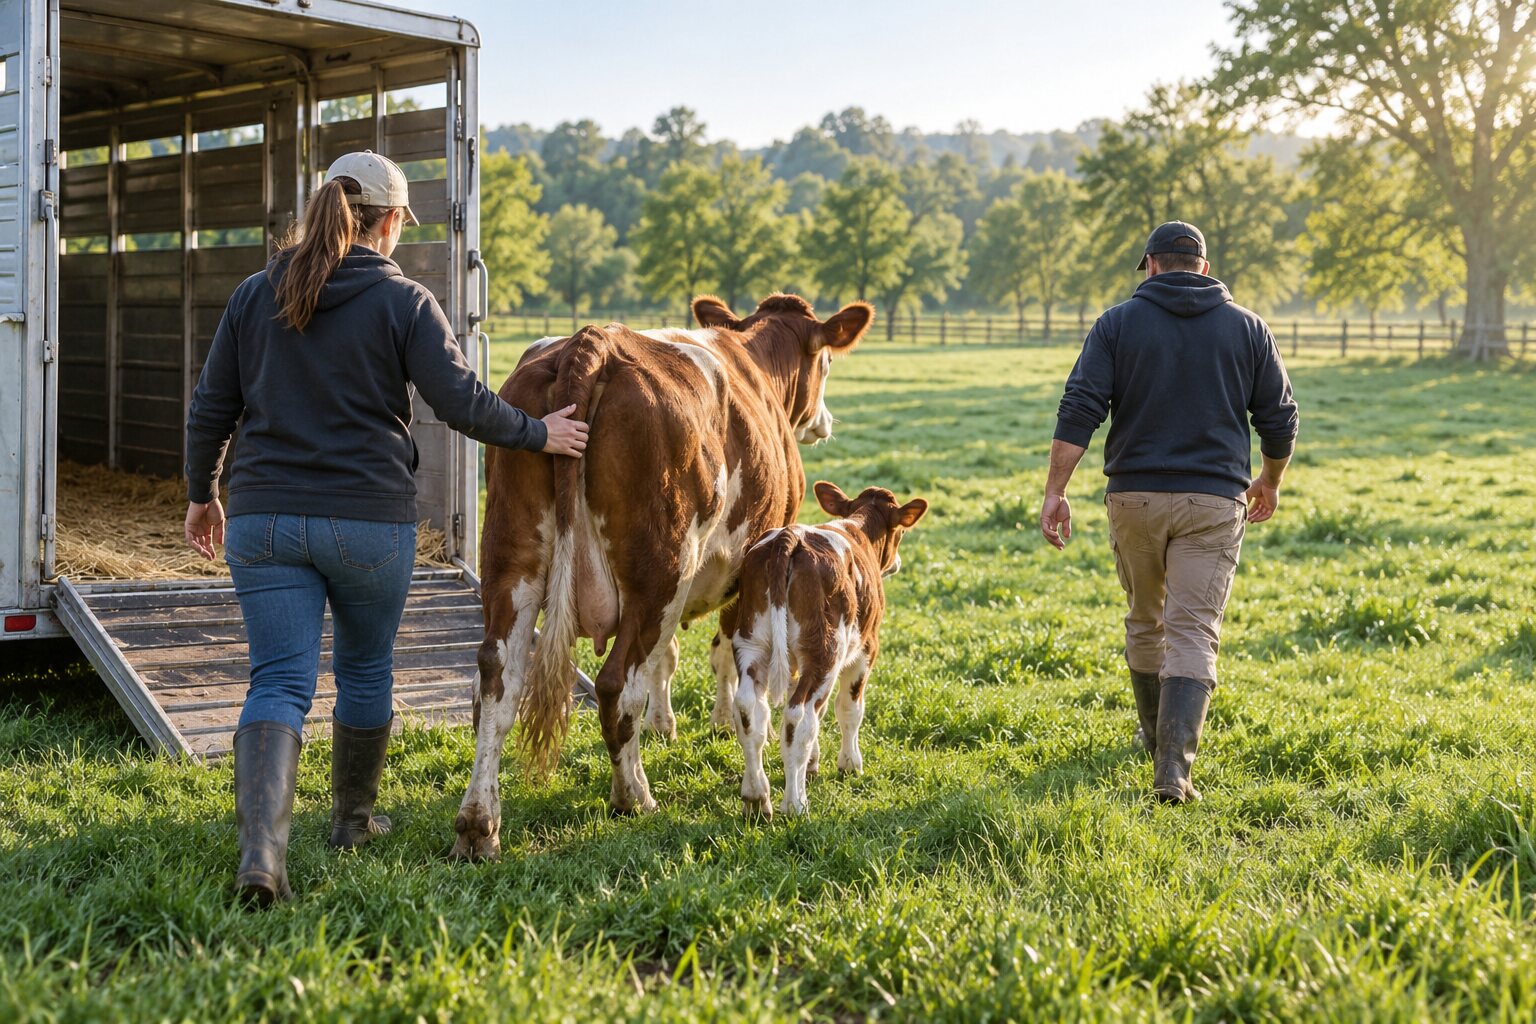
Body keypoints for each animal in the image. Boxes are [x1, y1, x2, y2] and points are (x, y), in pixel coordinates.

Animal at [451, 294, 872, 860]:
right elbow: (723, 654)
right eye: (826, 362)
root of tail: (591, 341)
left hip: (512, 562)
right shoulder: (745, 572)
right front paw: (719, 722)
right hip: (661, 571)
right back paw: (634, 795)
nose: (824, 421)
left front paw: (664, 725)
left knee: (496, 684)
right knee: (615, 686)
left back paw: (479, 824)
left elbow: (666, 658)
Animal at [728, 481, 928, 818]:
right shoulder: (866, 649)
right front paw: (850, 764)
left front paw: (812, 765)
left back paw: (757, 798)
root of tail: (789, 537)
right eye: (900, 532)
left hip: (751, 643)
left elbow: (817, 718)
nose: (898, 563)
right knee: (798, 716)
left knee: (750, 710)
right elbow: (849, 709)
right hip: (825, 653)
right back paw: (795, 803)